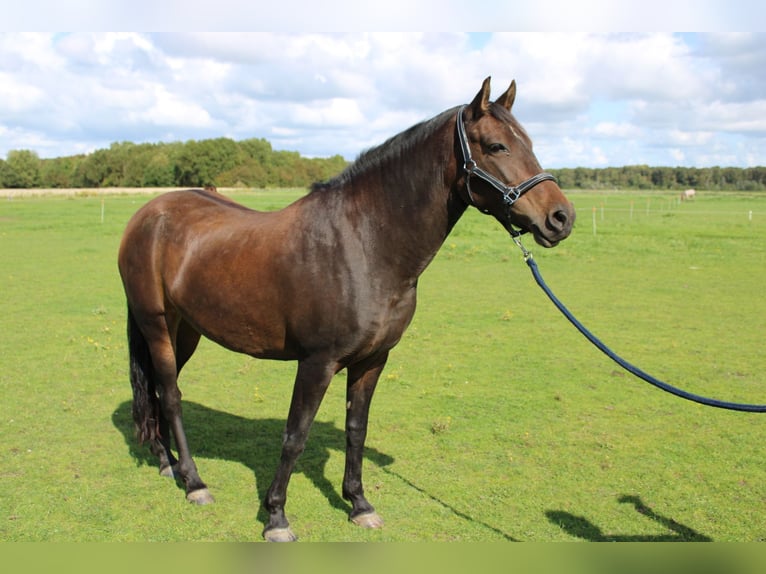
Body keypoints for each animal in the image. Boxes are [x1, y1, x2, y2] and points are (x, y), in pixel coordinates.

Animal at [117, 77, 576, 544]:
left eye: (529, 143)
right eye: (497, 146)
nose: (561, 218)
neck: (364, 245)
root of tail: (147, 215)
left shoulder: (373, 360)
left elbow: (357, 429)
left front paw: (359, 504)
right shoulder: (317, 362)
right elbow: (295, 434)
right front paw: (276, 517)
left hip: (185, 330)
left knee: (157, 391)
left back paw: (168, 463)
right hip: (156, 324)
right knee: (171, 394)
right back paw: (194, 482)